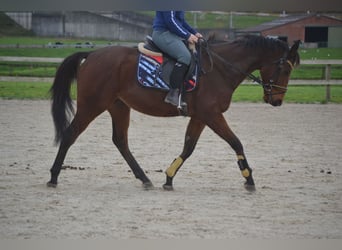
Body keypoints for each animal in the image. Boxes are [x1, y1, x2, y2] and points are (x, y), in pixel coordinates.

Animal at [47, 35, 300, 190]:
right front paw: (249, 178)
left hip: (118, 106)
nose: (277, 100)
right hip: (92, 105)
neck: (219, 68)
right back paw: (53, 176)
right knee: (70, 135)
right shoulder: (212, 115)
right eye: (286, 69)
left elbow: (188, 147)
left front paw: (168, 178)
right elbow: (236, 142)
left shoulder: (200, 117)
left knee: (120, 141)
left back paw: (144, 178)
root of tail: (92, 55)